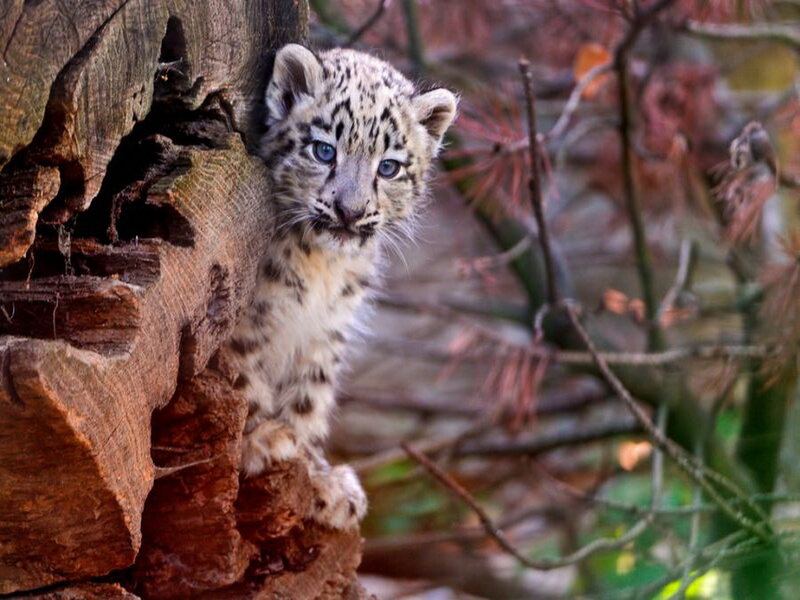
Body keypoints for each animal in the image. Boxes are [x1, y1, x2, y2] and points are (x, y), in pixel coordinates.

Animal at [225, 43, 457, 530]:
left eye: (388, 167)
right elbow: (243, 377)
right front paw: (263, 438)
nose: (350, 211)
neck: (321, 266)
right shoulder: (244, 320)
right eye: (323, 150)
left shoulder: (327, 330)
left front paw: (321, 478)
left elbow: (309, 397)